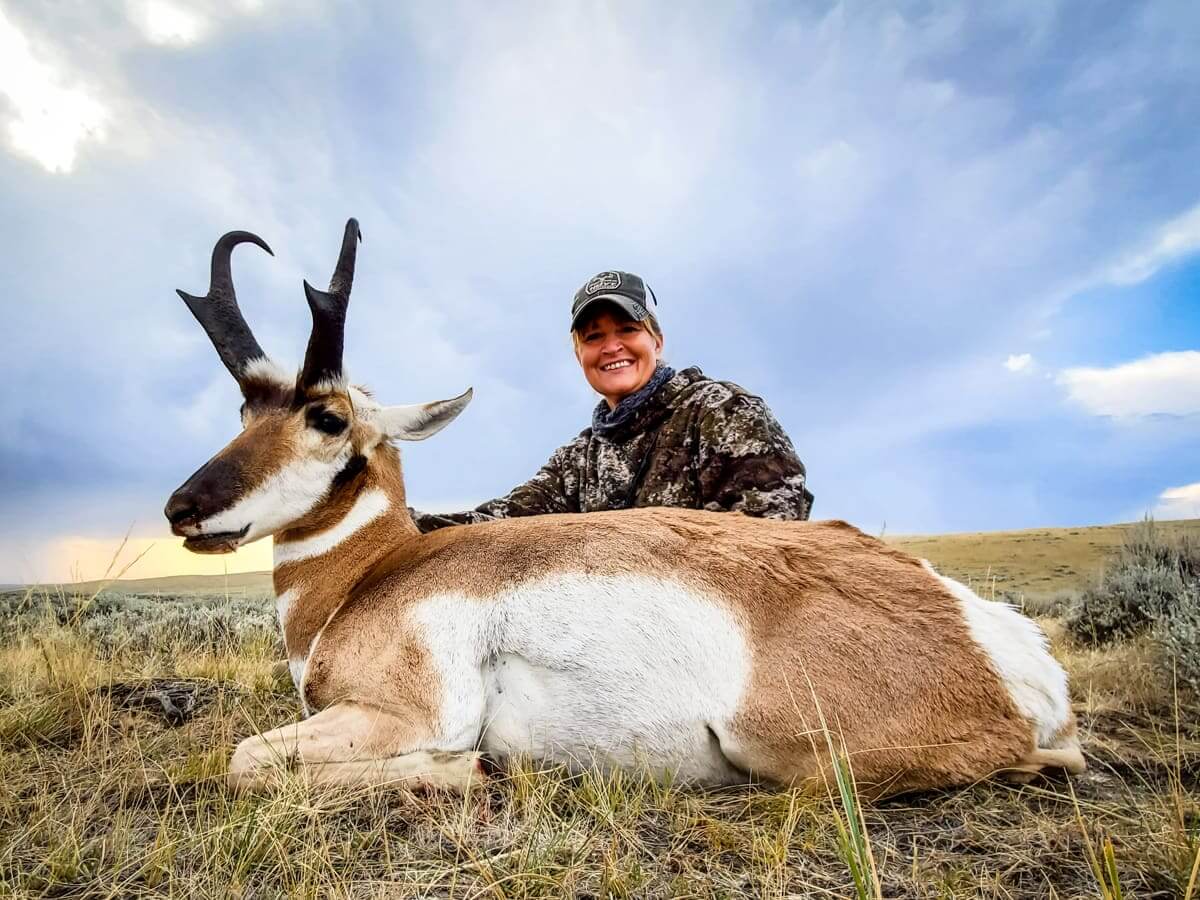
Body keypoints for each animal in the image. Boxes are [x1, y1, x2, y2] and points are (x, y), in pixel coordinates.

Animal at [165, 219, 1086, 797]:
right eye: (245, 410)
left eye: (326, 418)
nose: (181, 508)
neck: (377, 575)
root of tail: (997, 638)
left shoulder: (406, 714)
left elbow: (244, 759)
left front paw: (471, 771)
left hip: (784, 745)